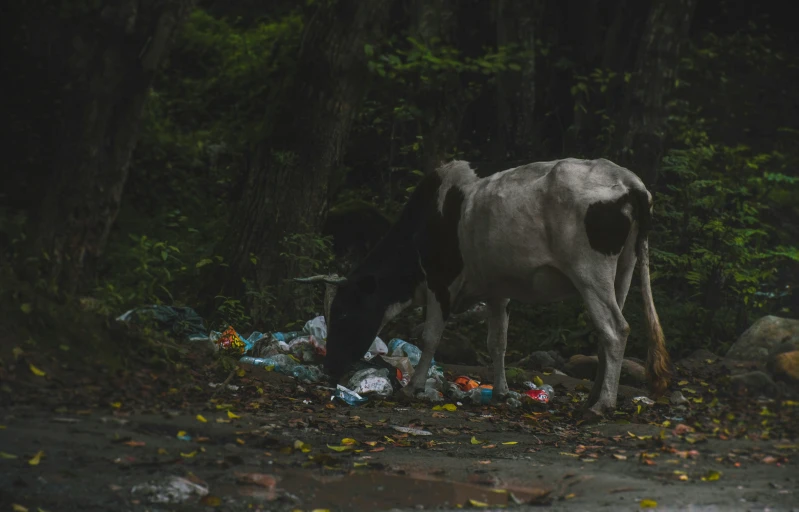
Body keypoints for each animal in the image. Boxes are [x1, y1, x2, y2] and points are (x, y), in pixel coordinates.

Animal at [298, 159, 668, 416]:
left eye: (343, 313)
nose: (329, 368)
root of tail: (629, 181)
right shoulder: (497, 290)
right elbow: (497, 342)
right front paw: (502, 392)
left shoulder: (440, 282)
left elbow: (431, 336)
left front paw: (413, 387)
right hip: (622, 270)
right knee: (608, 333)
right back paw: (592, 397)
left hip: (590, 272)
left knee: (615, 329)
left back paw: (601, 406)